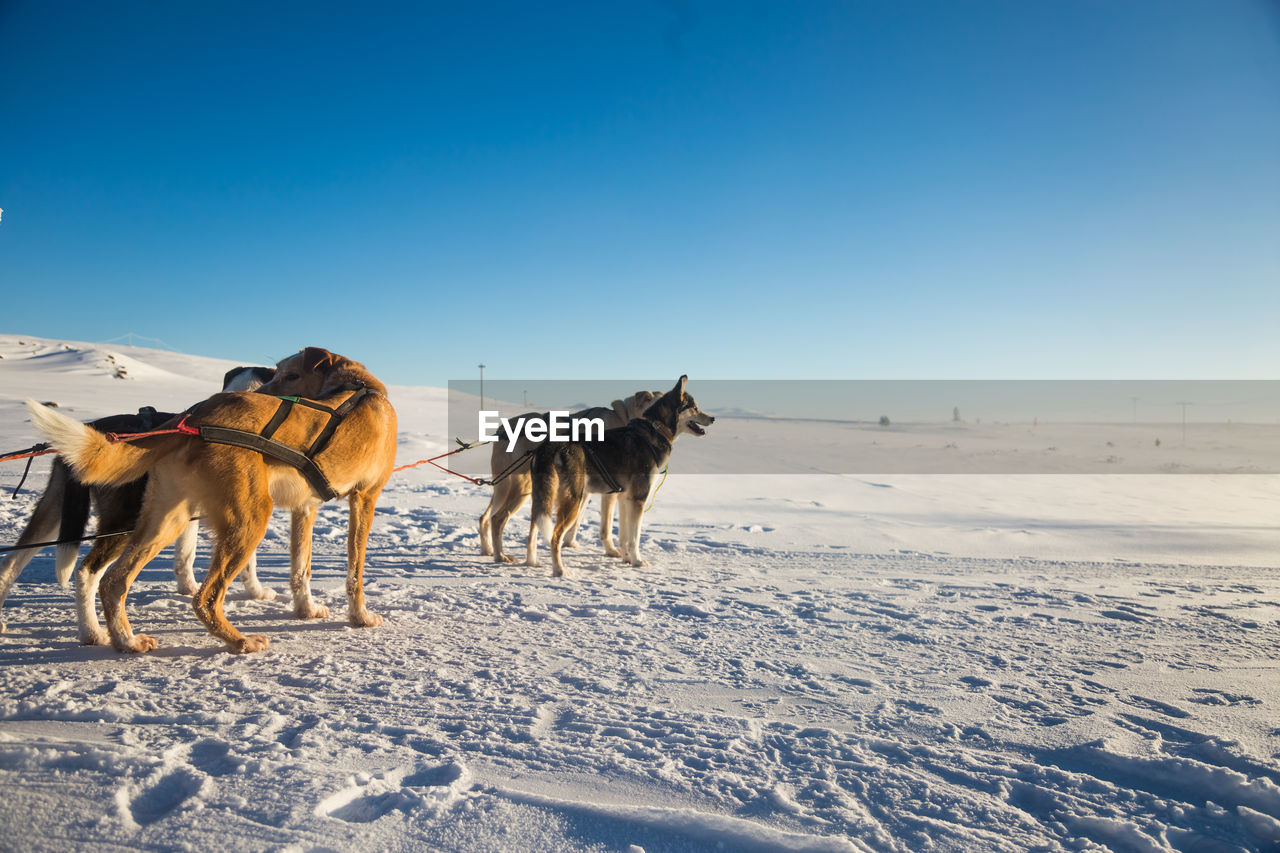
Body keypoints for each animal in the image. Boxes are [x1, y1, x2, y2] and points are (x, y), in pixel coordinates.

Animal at [27, 345, 396, 650]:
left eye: (290, 374)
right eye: (275, 373)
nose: (260, 393)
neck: (358, 388)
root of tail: (195, 416)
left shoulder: (305, 508)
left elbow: (300, 570)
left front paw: (305, 609)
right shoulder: (365, 499)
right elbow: (355, 572)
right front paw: (361, 618)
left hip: (166, 520)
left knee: (113, 581)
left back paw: (126, 641)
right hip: (249, 520)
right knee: (204, 597)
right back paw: (239, 641)